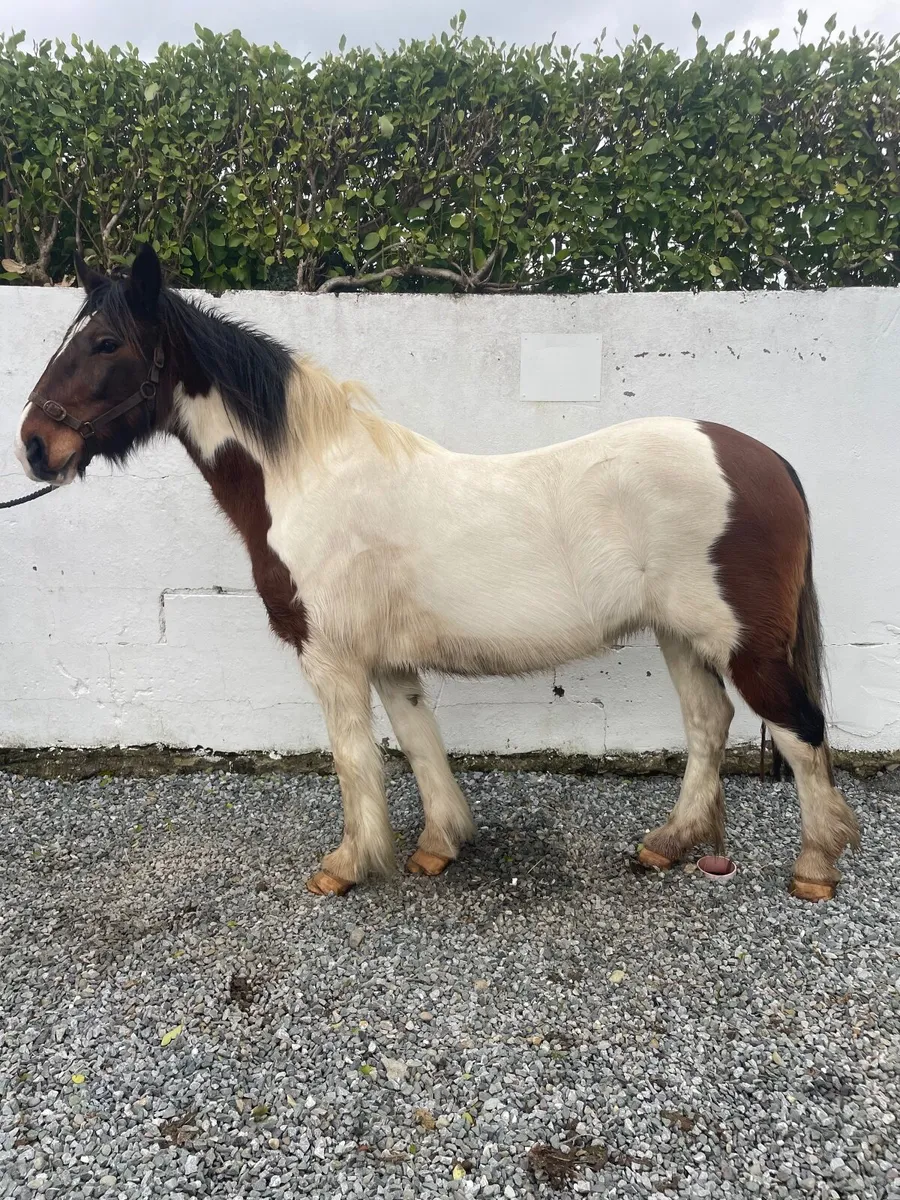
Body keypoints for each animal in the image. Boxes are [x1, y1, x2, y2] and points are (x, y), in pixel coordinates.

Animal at [14, 244, 860, 901]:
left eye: (106, 344)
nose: (33, 445)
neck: (307, 477)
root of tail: (766, 459)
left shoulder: (331, 658)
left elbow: (355, 759)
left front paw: (348, 865)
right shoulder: (390, 659)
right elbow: (419, 742)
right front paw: (438, 846)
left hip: (744, 645)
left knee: (800, 731)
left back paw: (816, 867)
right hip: (681, 635)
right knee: (708, 723)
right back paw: (670, 843)